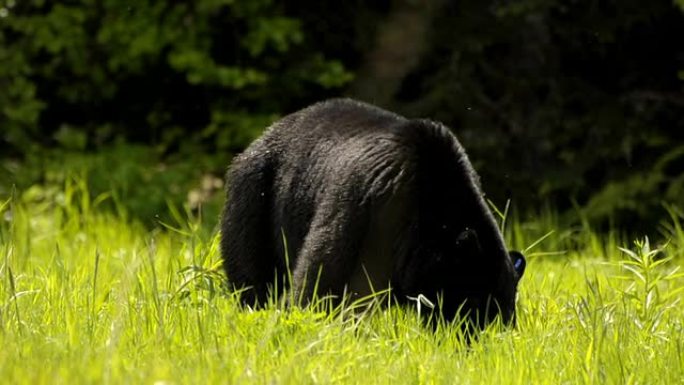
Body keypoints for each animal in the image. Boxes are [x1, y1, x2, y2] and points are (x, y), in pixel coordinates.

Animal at [219, 98, 524, 324]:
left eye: (506, 313)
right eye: (475, 304)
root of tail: (266, 133)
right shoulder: (364, 209)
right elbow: (323, 274)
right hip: (256, 195)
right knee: (252, 270)